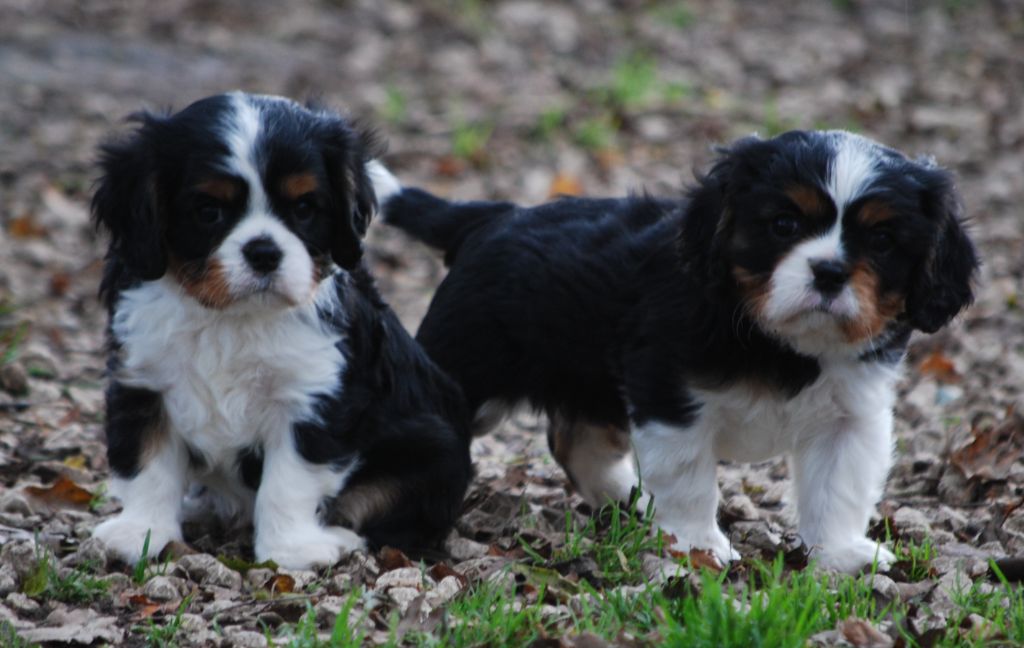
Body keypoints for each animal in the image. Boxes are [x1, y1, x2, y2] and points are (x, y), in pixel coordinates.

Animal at [90, 91, 473, 565]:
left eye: (305, 208)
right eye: (208, 211)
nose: (264, 252)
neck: (230, 317)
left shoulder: (312, 396)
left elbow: (289, 481)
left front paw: (291, 550)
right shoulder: (143, 380)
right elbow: (146, 461)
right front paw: (140, 532)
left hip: (430, 449)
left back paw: (338, 536)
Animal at [376, 131, 974, 569]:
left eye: (882, 241)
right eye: (783, 224)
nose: (828, 271)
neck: (779, 340)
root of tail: (491, 216)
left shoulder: (850, 417)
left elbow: (838, 487)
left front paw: (842, 556)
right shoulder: (671, 397)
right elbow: (688, 481)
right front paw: (698, 547)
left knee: (576, 442)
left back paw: (626, 499)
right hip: (463, 369)